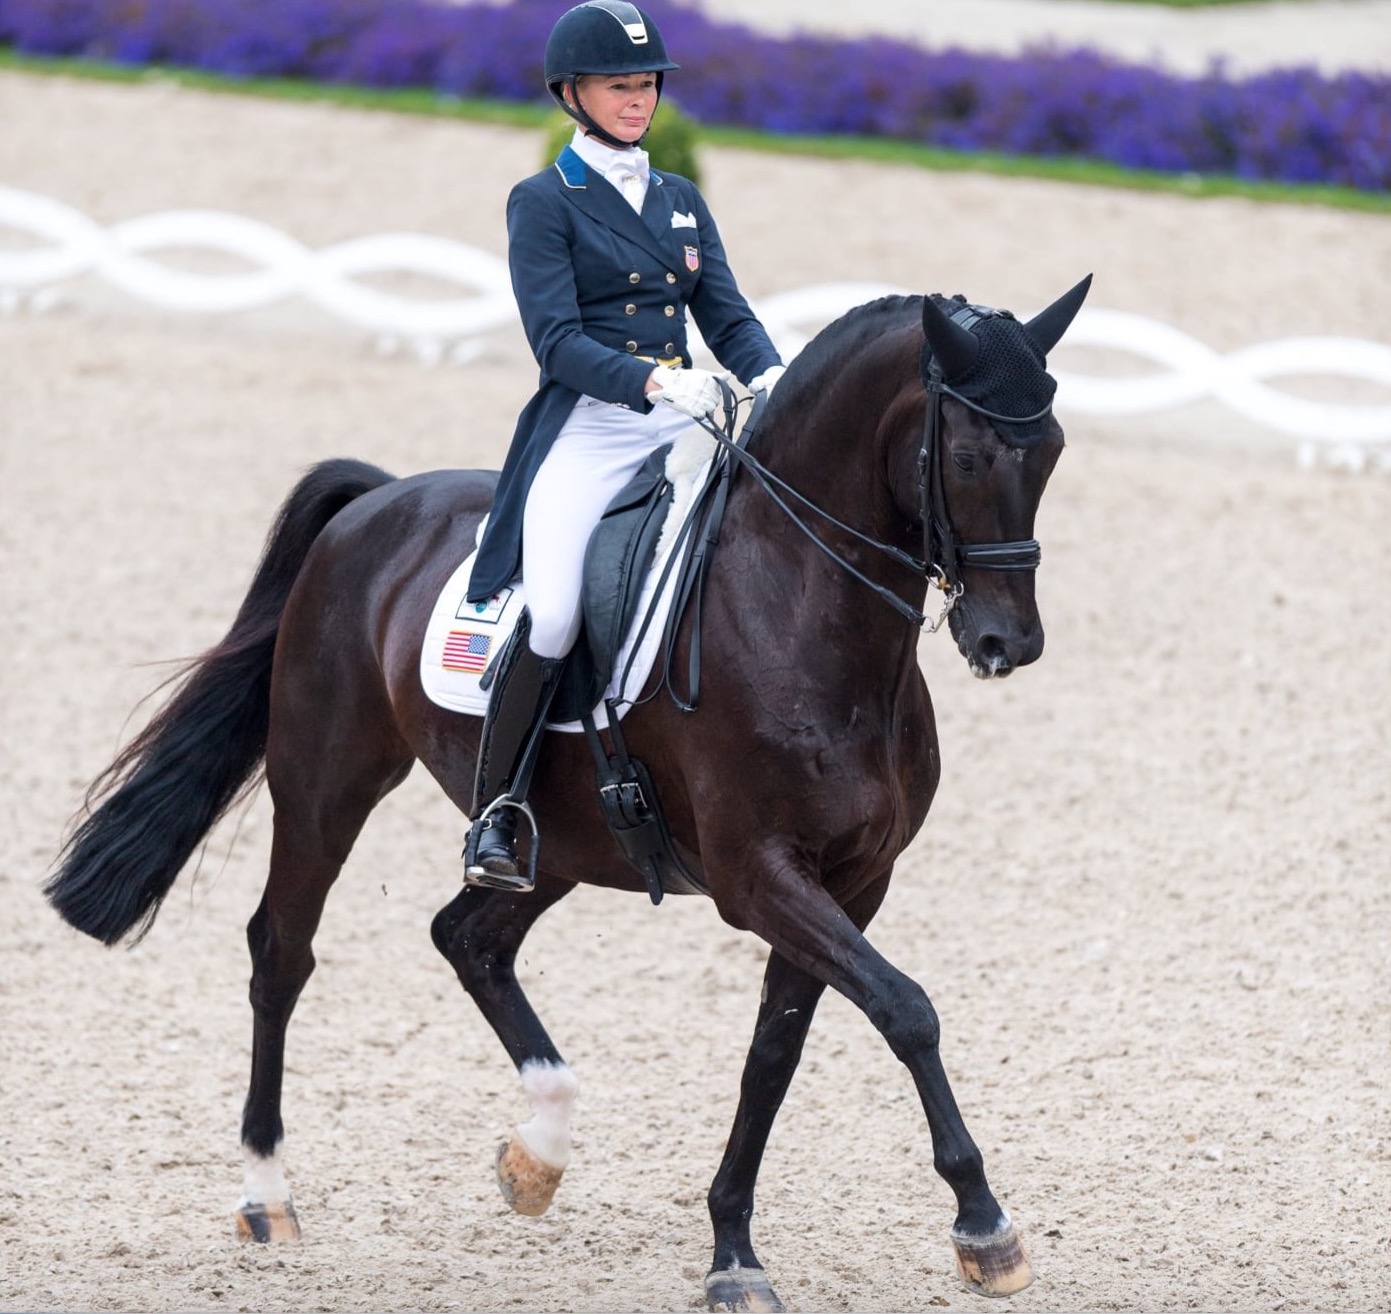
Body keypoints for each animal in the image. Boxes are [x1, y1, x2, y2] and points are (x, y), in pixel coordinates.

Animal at [49, 273, 1090, 1301]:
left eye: (1051, 451)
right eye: (966, 455)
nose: (1008, 642)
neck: (800, 609)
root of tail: (377, 503)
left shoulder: (854, 880)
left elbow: (778, 1050)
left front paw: (733, 1247)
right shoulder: (757, 877)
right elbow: (907, 1011)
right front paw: (983, 1225)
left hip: (557, 839)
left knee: (468, 938)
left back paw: (536, 1153)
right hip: (326, 782)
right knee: (282, 952)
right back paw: (268, 1195)